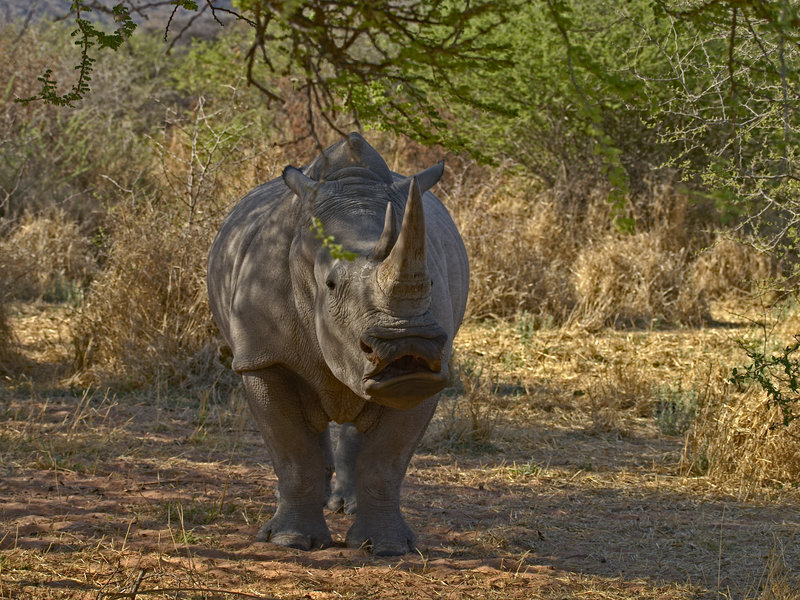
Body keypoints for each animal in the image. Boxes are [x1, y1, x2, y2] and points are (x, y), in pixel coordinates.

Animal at [207, 132, 469, 555]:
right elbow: (294, 454)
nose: (407, 346)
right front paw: (291, 542)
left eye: (429, 282)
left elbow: (386, 462)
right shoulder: (263, 357)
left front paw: (388, 548)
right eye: (330, 284)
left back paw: (348, 506)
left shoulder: (428, 376)